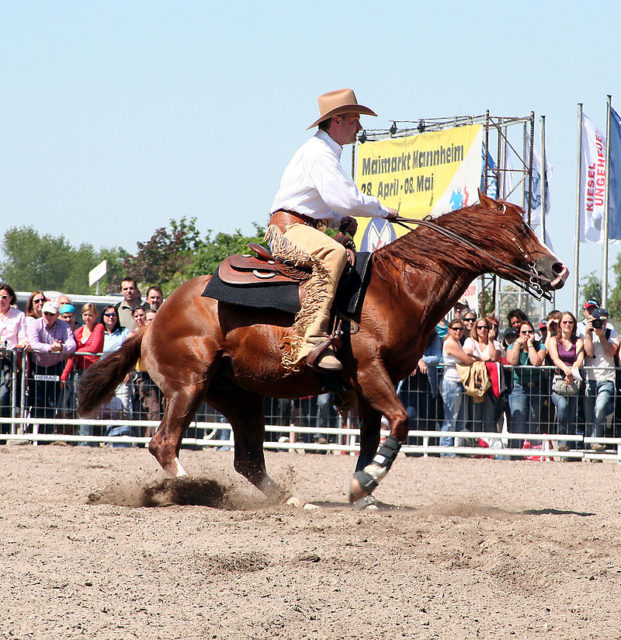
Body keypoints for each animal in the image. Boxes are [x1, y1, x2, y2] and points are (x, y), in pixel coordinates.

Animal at [77, 191, 568, 504]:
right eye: (518, 228)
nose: (558, 268)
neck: (398, 288)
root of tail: (154, 319)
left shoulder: (373, 382)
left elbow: (372, 437)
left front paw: (363, 491)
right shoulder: (370, 371)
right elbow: (402, 422)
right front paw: (365, 484)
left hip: (239, 396)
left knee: (248, 460)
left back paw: (292, 501)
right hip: (188, 385)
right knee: (165, 444)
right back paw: (193, 488)